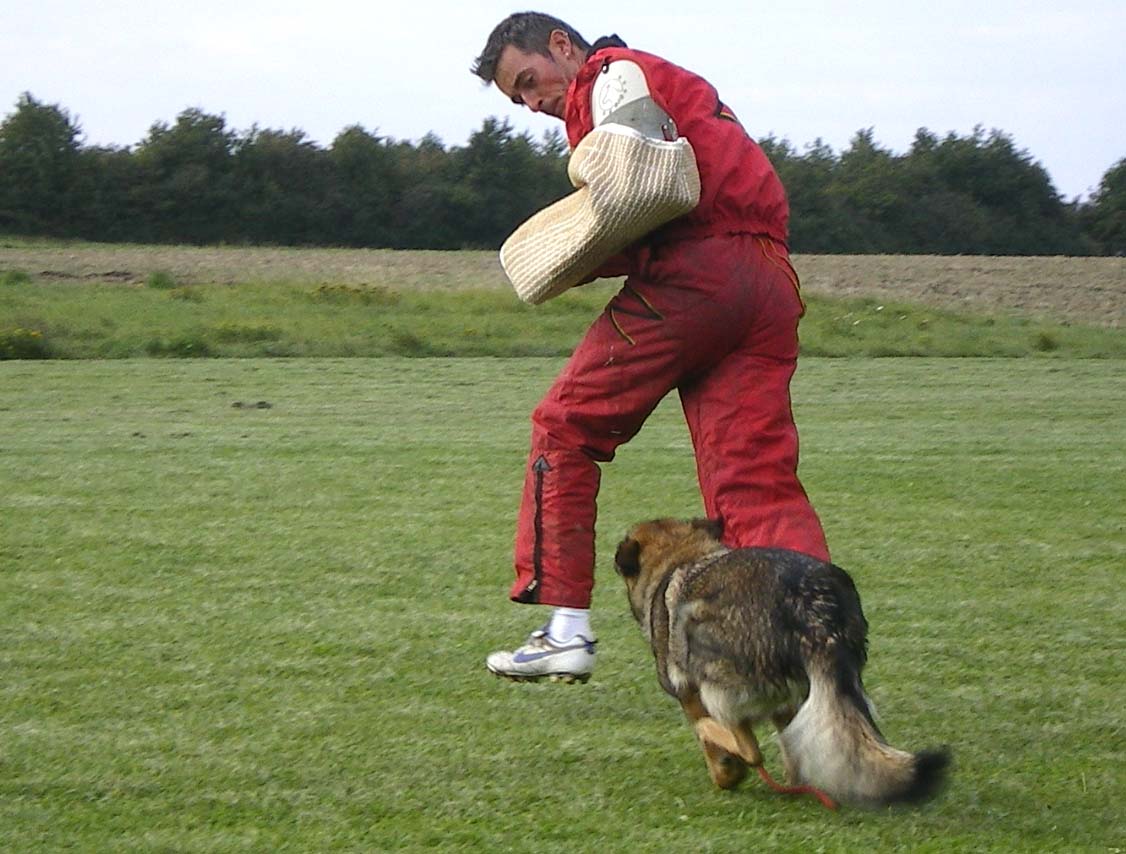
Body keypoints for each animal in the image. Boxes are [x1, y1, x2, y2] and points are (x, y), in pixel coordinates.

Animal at [614, 517, 949, 807]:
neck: (682, 556)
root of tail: (811, 611)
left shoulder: (688, 694)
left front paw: (724, 771)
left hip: (715, 677)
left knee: (748, 749)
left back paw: (712, 732)